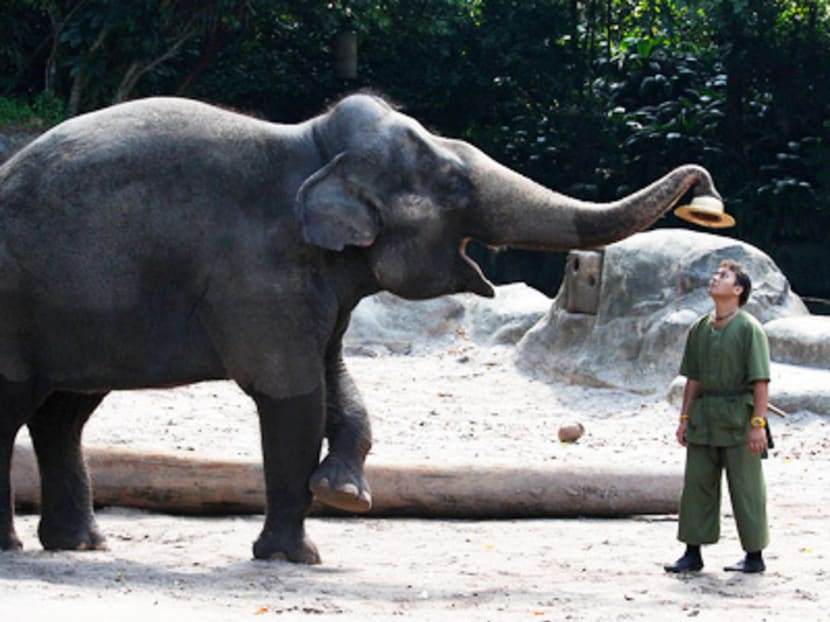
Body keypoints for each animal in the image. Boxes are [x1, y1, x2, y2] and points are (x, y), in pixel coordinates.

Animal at [0, 93, 721, 563]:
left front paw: (343, 494)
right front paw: (298, 555)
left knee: (64, 414)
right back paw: (16, 547)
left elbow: (337, 383)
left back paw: (81, 545)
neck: (312, 147)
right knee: (18, 409)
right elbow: (293, 397)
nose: (705, 190)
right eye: (453, 181)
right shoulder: (257, 275)